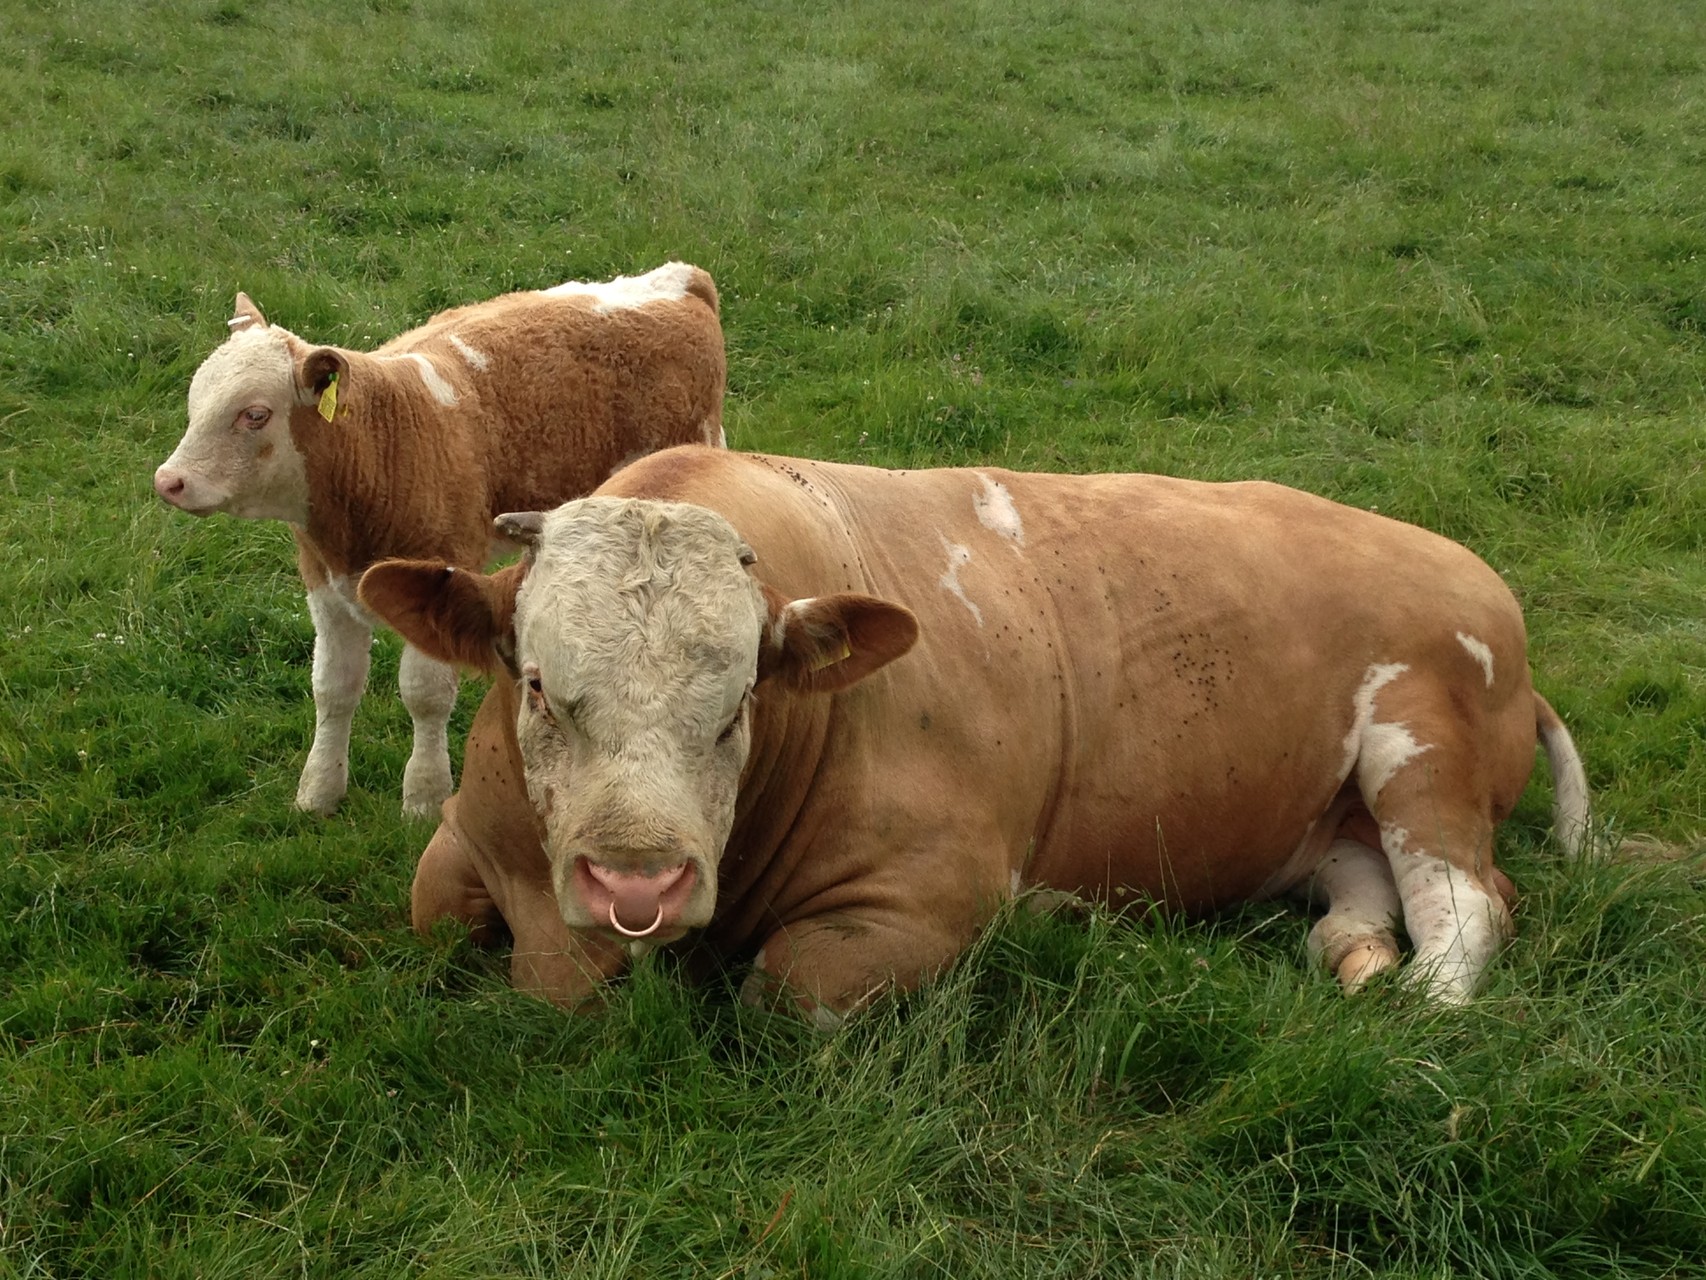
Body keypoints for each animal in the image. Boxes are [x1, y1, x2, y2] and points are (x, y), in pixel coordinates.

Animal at [151, 264, 726, 815]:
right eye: (194, 401)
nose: (168, 481)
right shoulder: (322, 581)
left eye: (255, 414)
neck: (382, 444)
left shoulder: (439, 570)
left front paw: (424, 795)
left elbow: (424, 694)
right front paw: (319, 791)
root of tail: (680, 279)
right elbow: (333, 687)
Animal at [356, 447, 1583, 1017]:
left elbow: (788, 985)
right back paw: (1359, 962)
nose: (636, 884)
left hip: (1423, 754)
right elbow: (430, 907)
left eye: (739, 703)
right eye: (535, 684)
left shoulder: (932, 894)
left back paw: (1415, 1009)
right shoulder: (468, 845)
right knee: (1362, 900)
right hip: (1327, 821)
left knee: (1467, 903)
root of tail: (1472, 574)